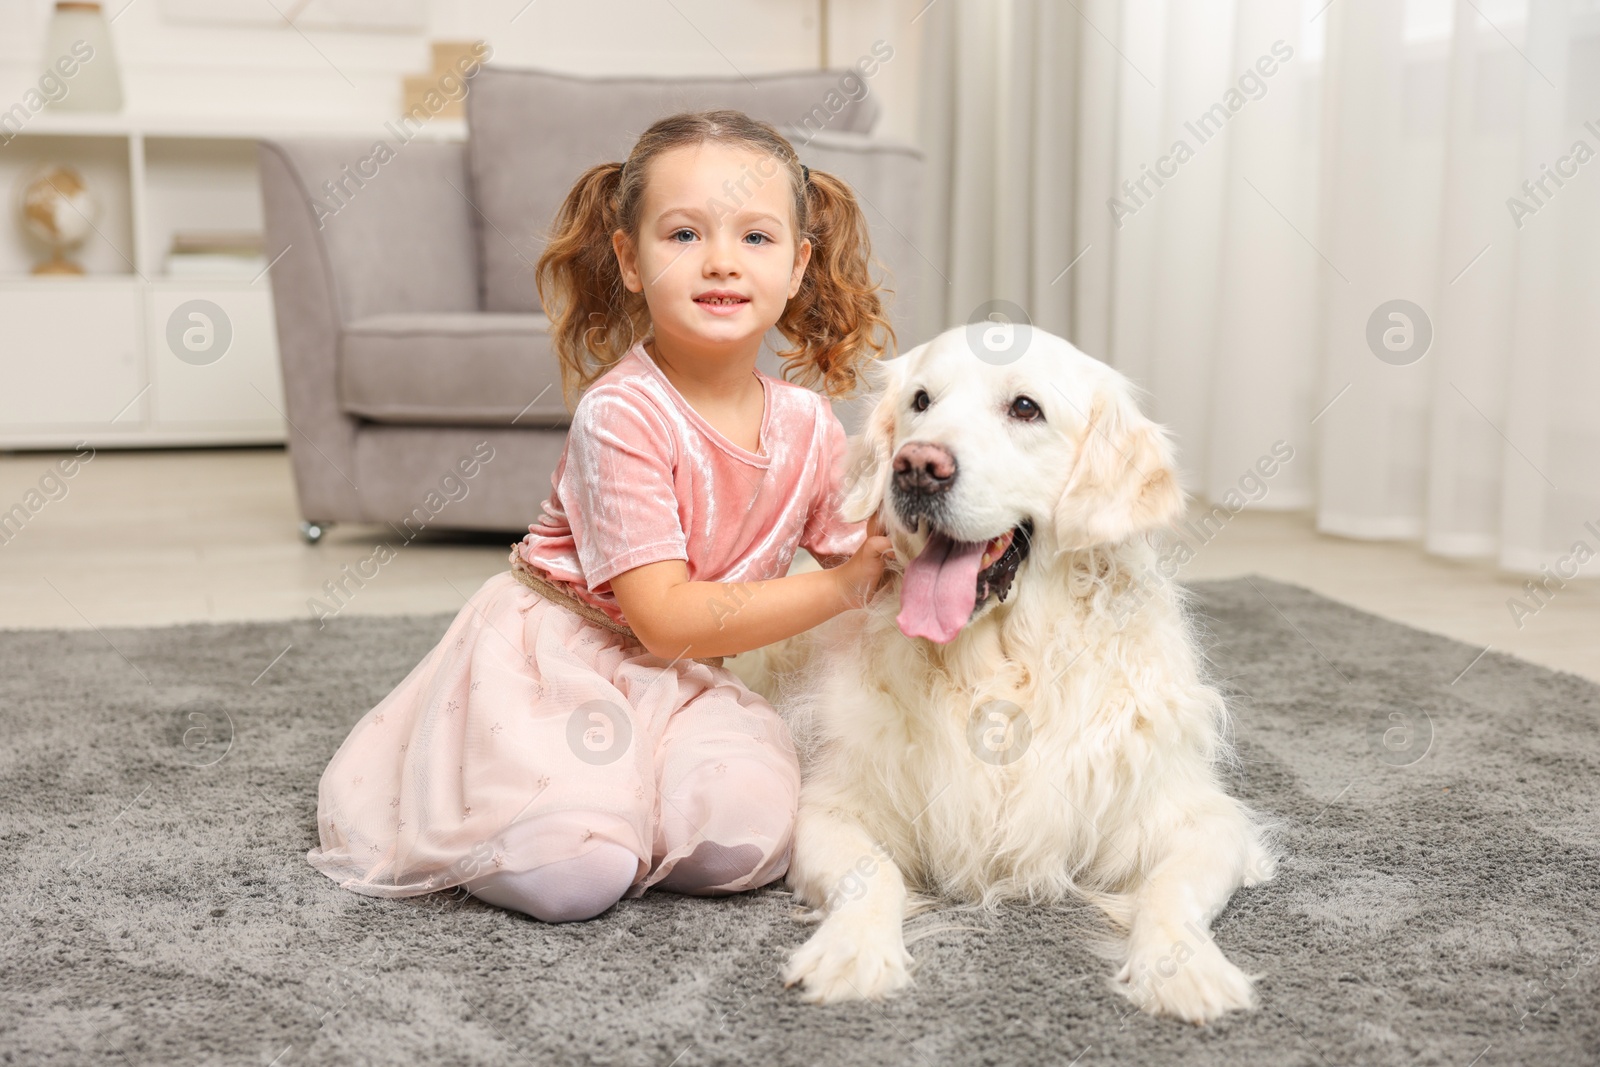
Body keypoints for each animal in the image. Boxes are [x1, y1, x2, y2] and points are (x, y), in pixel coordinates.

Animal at [732, 326, 1280, 1023]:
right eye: (921, 401)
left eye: (1025, 408)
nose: (916, 466)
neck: (1002, 664)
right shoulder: (831, 807)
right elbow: (872, 876)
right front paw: (853, 952)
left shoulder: (1199, 817)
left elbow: (1171, 890)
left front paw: (1183, 969)